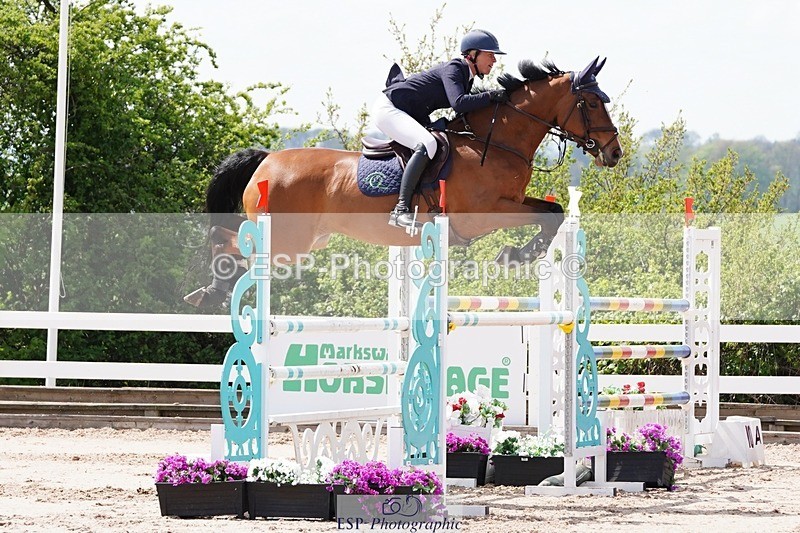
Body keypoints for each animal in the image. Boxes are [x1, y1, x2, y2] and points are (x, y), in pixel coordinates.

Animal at [185, 57, 622, 308]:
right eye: (593, 102)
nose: (614, 152)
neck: (497, 140)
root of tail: (267, 160)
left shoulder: (513, 202)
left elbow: (553, 210)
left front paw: (520, 254)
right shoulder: (482, 215)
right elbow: (549, 215)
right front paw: (514, 254)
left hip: (308, 242)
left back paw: (212, 290)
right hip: (287, 241)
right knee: (228, 240)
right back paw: (213, 289)